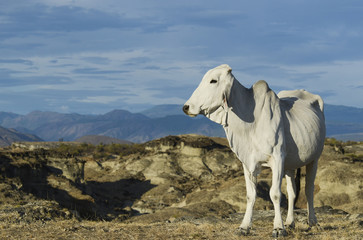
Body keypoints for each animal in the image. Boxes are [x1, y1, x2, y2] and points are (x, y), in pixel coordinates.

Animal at [183, 64, 326, 238]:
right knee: (292, 192)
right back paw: (290, 222)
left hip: (314, 158)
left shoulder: (277, 159)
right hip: (291, 165)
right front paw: (244, 226)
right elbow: (251, 195)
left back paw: (313, 222)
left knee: (308, 189)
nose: (186, 107)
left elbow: (275, 194)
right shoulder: (247, 162)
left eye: (213, 81)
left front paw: (278, 228)